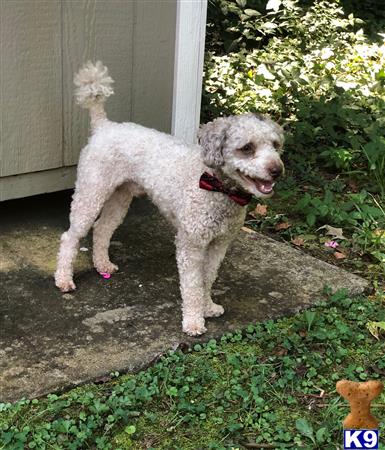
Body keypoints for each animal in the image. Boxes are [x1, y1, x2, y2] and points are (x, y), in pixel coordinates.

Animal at [54, 61, 284, 336]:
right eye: (247, 148)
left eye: (276, 145)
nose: (277, 170)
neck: (218, 189)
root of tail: (104, 125)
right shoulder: (191, 244)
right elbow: (193, 284)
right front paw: (194, 321)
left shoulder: (219, 244)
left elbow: (207, 278)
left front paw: (208, 306)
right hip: (91, 193)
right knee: (71, 236)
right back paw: (63, 279)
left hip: (120, 197)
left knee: (102, 228)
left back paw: (103, 266)